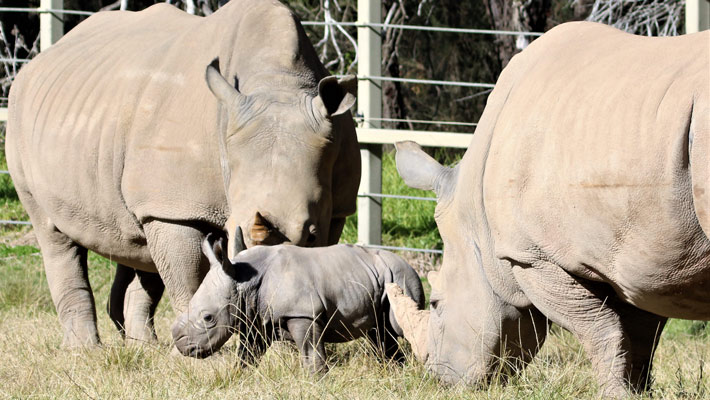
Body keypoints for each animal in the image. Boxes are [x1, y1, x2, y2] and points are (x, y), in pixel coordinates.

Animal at [171, 231, 428, 372]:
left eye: (208, 318)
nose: (184, 348)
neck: (244, 282)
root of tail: (411, 265)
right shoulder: (257, 319)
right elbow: (247, 355)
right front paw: (236, 377)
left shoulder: (302, 313)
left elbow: (310, 351)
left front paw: (318, 381)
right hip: (381, 279)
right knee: (380, 334)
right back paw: (396, 371)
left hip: (402, 278)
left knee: (398, 327)